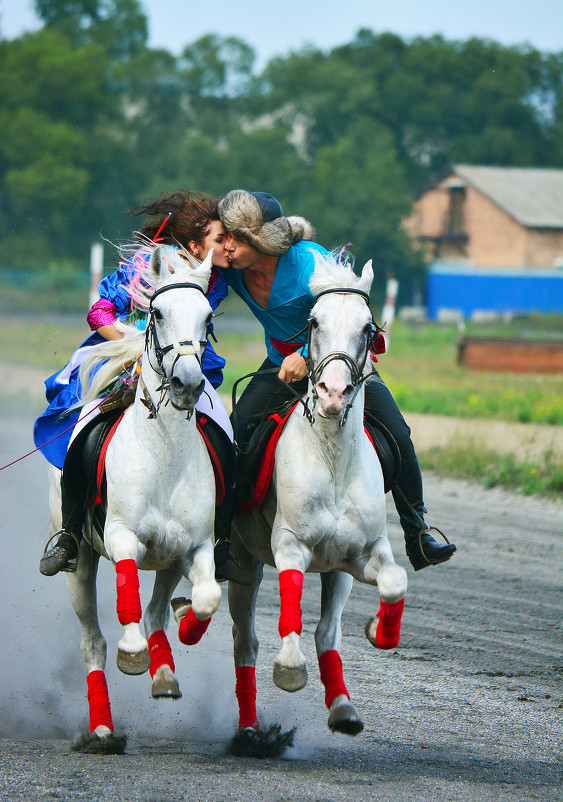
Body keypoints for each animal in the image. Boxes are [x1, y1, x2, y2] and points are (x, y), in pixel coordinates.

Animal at [47, 245, 223, 752]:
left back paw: (164, 672)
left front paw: (188, 624)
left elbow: (206, 597)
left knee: (155, 615)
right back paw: (103, 729)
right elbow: (126, 594)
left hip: (167, 561)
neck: (164, 452)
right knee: (93, 641)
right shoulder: (122, 536)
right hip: (81, 562)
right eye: (157, 313)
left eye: (208, 317)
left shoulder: (194, 547)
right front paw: (132, 654)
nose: (187, 383)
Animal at [227, 252, 408, 752]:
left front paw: (379, 632)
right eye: (313, 322)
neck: (332, 460)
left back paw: (341, 707)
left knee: (325, 632)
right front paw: (289, 669)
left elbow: (394, 582)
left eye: (368, 328)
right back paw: (247, 729)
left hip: (334, 572)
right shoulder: (290, 544)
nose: (332, 393)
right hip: (242, 564)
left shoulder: (359, 555)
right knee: (244, 641)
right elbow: (289, 605)